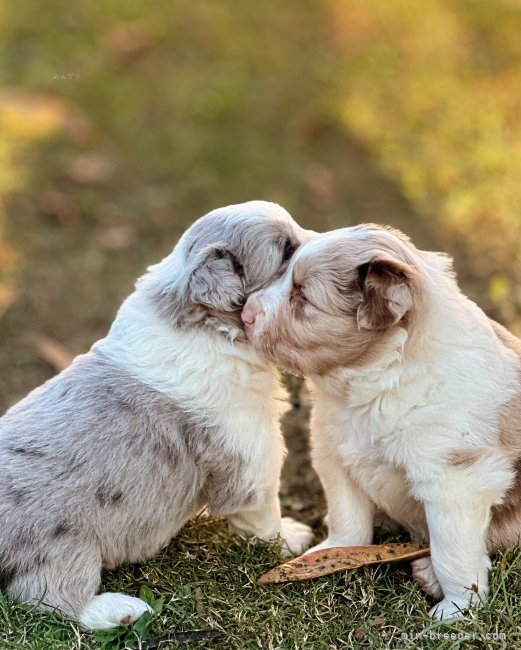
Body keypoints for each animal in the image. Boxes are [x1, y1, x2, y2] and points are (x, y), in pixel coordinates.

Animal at [0, 201, 312, 628]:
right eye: (285, 250)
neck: (208, 325)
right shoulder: (251, 452)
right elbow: (265, 515)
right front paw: (293, 539)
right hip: (61, 542)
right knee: (51, 595)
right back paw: (122, 609)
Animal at [242, 225, 520, 620]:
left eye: (303, 296)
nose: (245, 315)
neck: (373, 383)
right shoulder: (335, 454)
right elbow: (347, 516)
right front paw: (331, 552)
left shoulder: (454, 480)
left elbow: (452, 550)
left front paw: (457, 609)